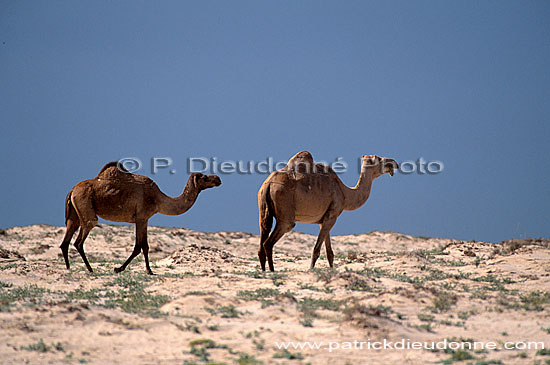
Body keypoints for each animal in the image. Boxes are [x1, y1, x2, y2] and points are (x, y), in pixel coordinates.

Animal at [60, 161, 222, 272]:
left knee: (67, 237)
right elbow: (140, 246)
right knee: (81, 238)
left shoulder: (144, 218)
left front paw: (147, 270)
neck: (158, 199)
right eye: (205, 177)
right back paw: (90, 269)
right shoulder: (141, 217)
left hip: (75, 212)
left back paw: (68, 268)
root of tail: (72, 190)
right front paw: (122, 269)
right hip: (85, 204)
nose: (218, 179)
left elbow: (143, 245)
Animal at [258, 151, 402, 270]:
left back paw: (264, 271)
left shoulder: (324, 219)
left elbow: (330, 253)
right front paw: (311, 270)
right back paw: (272, 271)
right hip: (285, 212)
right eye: (378, 158)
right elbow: (316, 250)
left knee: (263, 237)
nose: (394, 163)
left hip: (263, 208)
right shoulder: (332, 216)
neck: (345, 193)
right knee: (270, 242)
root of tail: (268, 183)